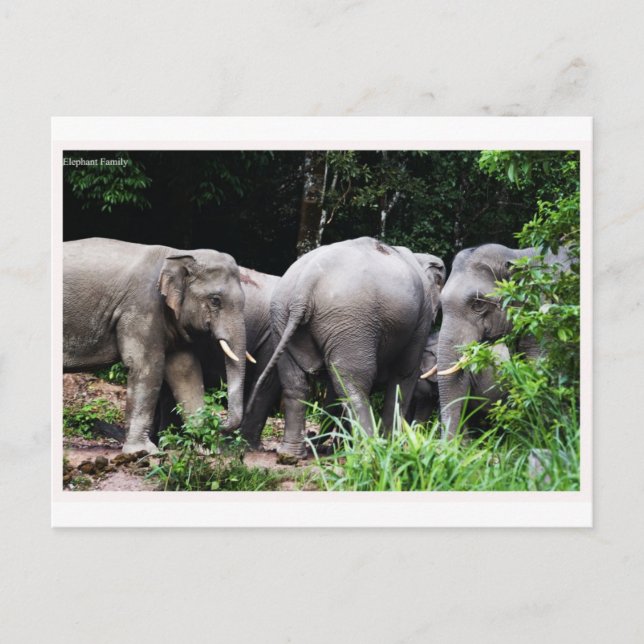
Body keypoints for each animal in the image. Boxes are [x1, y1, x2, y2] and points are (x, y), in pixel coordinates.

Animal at [63, 237, 247, 454]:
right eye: (215, 300)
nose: (220, 423)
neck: (177, 254)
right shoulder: (141, 307)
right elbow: (147, 366)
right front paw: (143, 451)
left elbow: (186, 369)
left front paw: (208, 449)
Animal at [249, 237, 445, 459]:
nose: (312, 436)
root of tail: (306, 283)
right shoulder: (422, 319)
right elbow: (405, 373)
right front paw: (390, 446)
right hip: (351, 319)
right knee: (353, 384)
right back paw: (370, 451)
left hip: (284, 318)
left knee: (296, 382)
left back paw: (290, 456)